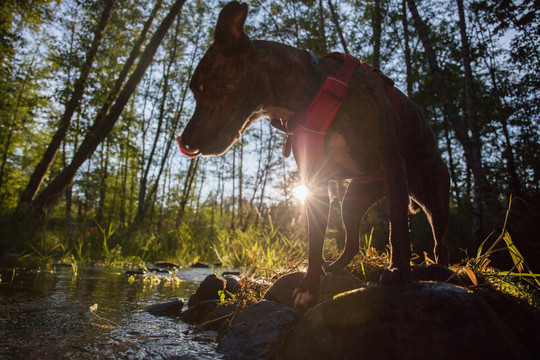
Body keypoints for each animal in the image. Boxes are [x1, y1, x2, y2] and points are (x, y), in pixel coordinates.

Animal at [178, 1, 452, 308]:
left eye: (200, 87)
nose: (185, 140)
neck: (312, 91)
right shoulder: (313, 181)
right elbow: (315, 239)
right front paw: (310, 283)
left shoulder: (391, 163)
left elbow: (399, 230)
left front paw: (399, 272)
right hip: (353, 200)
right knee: (353, 242)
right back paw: (333, 267)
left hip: (433, 198)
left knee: (439, 240)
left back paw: (441, 268)